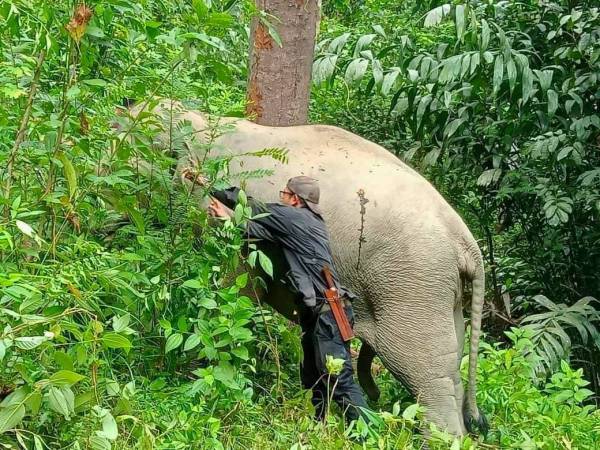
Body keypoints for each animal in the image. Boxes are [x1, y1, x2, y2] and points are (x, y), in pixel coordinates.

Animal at [126, 99, 488, 436]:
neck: (201, 121)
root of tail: (465, 240)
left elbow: (234, 287)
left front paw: (197, 374)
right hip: (444, 294)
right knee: (451, 369)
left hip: (414, 286)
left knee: (426, 374)